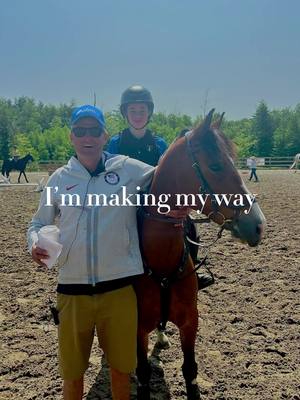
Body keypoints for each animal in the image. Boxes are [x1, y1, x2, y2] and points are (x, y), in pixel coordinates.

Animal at [135, 110, 264, 400]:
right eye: (215, 166)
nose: (258, 224)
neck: (162, 264)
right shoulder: (137, 327)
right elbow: (143, 373)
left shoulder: (190, 323)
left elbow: (190, 370)